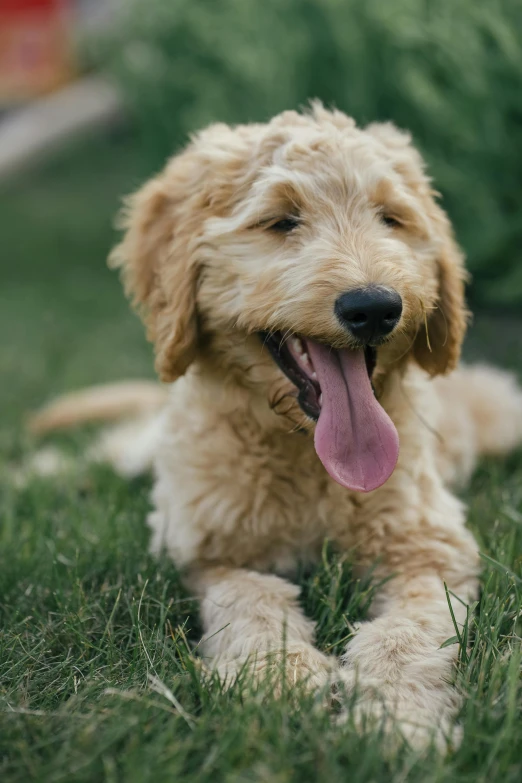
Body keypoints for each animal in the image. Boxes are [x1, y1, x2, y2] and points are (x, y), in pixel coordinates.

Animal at [29, 102, 522, 748]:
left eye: (391, 218)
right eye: (282, 221)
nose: (374, 307)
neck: (303, 453)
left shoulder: (432, 550)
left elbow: (407, 632)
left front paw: (397, 718)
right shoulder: (203, 548)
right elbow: (251, 594)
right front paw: (277, 677)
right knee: (108, 451)